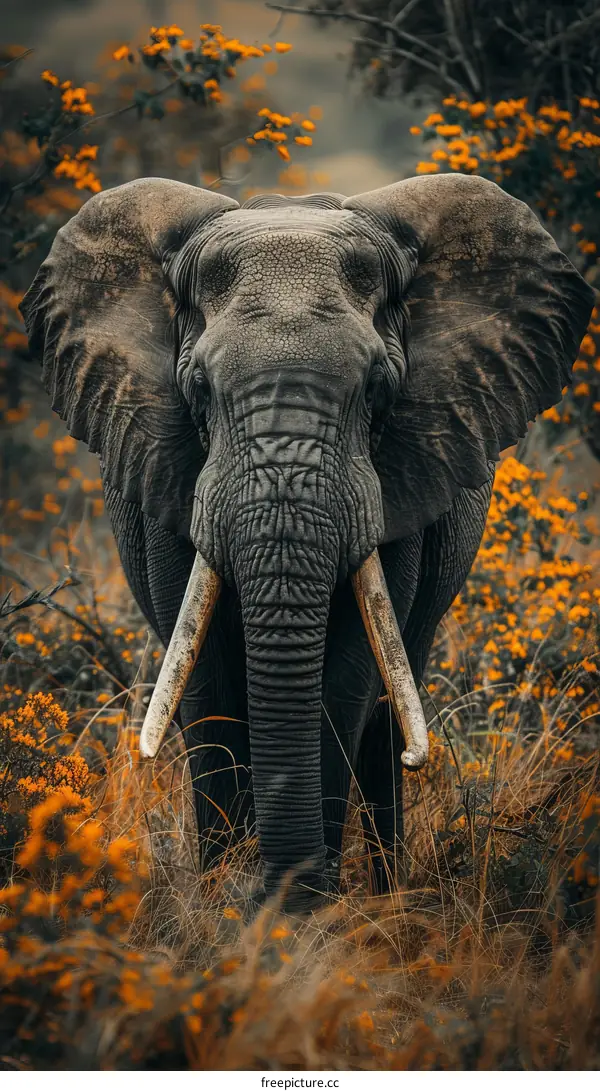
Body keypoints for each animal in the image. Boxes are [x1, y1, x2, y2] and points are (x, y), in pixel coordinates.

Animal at [21, 173, 594, 914]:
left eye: (378, 388)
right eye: (199, 388)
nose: (274, 891)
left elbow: (345, 673)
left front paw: (304, 912)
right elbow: (205, 680)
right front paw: (228, 904)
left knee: (390, 708)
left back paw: (386, 893)